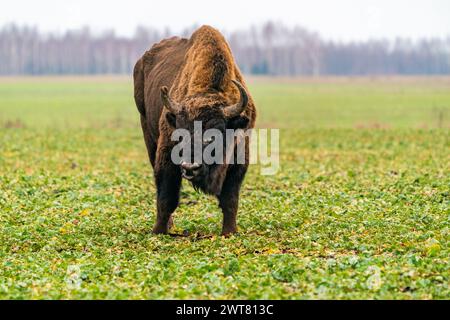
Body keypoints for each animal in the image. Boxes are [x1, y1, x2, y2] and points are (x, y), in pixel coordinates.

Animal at [134, 25, 256, 235]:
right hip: (147, 132)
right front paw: (158, 232)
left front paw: (229, 232)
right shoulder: (166, 155)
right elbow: (166, 198)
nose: (191, 167)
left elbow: (230, 200)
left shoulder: (239, 159)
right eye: (181, 132)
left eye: (214, 134)